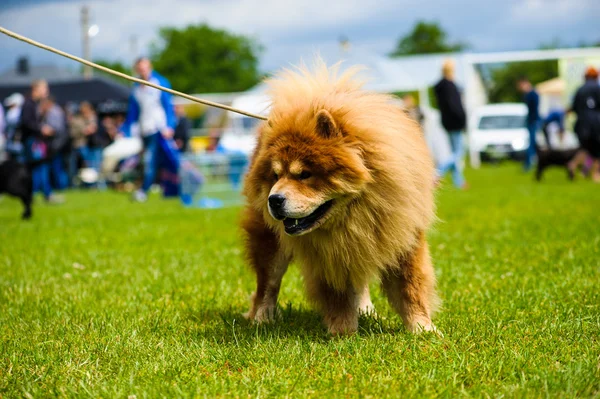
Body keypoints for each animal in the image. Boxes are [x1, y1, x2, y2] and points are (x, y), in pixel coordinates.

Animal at [240, 61, 440, 336]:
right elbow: (337, 295)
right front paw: (343, 333)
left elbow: (411, 287)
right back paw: (262, 318)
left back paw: (366, 311)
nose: (274, 199)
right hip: (270, 241)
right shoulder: (328, 256)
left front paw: (423, 329)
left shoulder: (403, 237)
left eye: (305, 174)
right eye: (276, 175)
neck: (357, 213)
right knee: (267, 283)